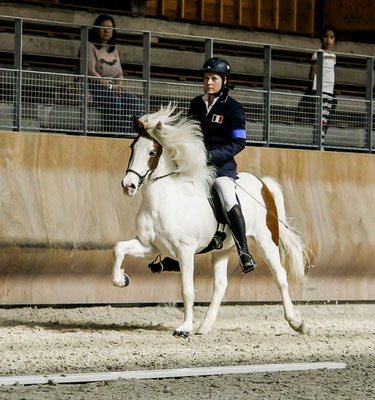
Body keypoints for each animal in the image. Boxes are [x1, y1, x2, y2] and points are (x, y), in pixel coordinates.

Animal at [113, 104, 310, 338]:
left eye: (152, 152)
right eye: (132, 147)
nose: (128, 186)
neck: (163, 199)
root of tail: (263, 184)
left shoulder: (185, 251)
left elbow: (187, 290)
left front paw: (184, 328)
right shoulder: (149, 246)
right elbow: (118, 248)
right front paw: (122, 279)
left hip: (266, 241)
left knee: (280, 276)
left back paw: (297, 322)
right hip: (222, 250)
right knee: (221, 285)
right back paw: (205, 327)